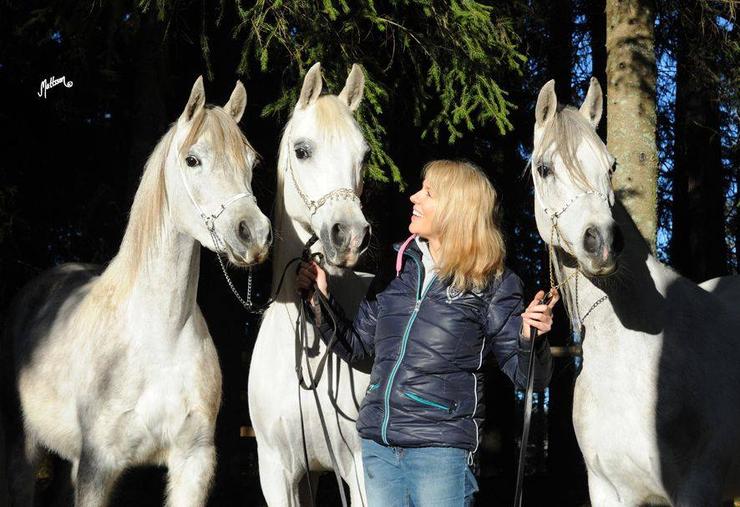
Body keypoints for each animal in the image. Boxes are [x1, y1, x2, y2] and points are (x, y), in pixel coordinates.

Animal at [0, 76, 272, 507]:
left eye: (252, 162)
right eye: (192, 160)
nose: (254, 234)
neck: (160, 335)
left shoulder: (193, 462)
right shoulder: (98, 466)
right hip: (22, 446)